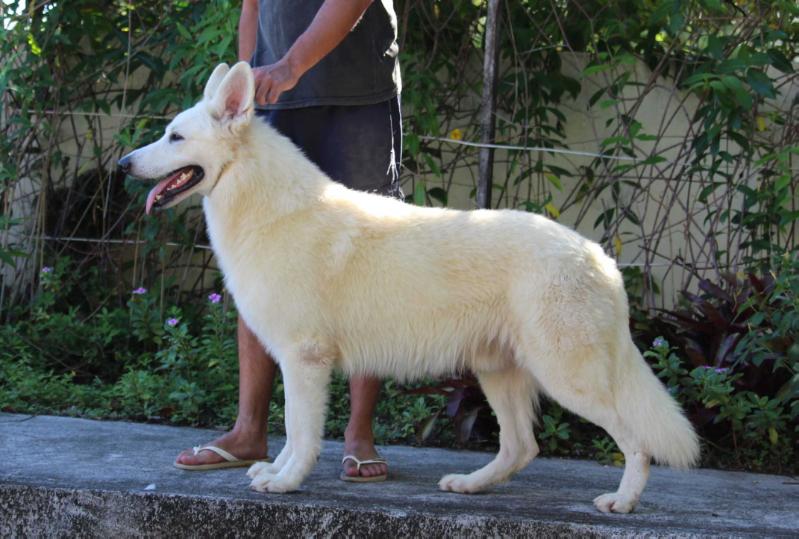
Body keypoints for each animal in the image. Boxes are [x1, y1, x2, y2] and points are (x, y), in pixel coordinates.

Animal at [120, 61, 700, 512]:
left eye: (175, 137)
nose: (124, 163)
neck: (269, 209)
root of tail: (600, 257)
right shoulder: (292, 360)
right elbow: (289, 430)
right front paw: (275, 471)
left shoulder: (305, 360)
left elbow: (300, 432)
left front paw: (286, 482)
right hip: (498, 373)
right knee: (521, 448)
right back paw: (470, 485)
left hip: (566, 378)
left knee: (634, 441)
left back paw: (623, 500)